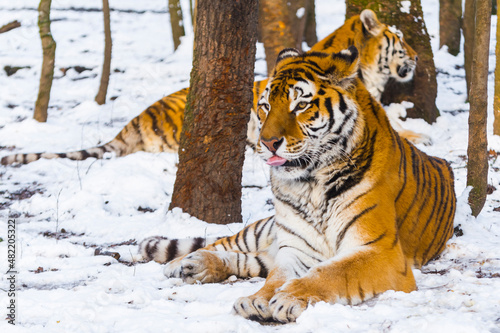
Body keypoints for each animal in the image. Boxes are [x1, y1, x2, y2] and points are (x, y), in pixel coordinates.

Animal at [138, 46, 458, 322]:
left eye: (301, 105)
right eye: (265, 106)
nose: (267, 142)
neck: (311, 182)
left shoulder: (380, 250)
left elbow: (332, 272)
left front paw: (289, 298)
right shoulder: (293, 248)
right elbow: (276, 278)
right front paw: (258, 299)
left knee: (251, 260)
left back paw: (197, 266)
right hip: (262, 230)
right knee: (226, 243)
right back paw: (184, 263)